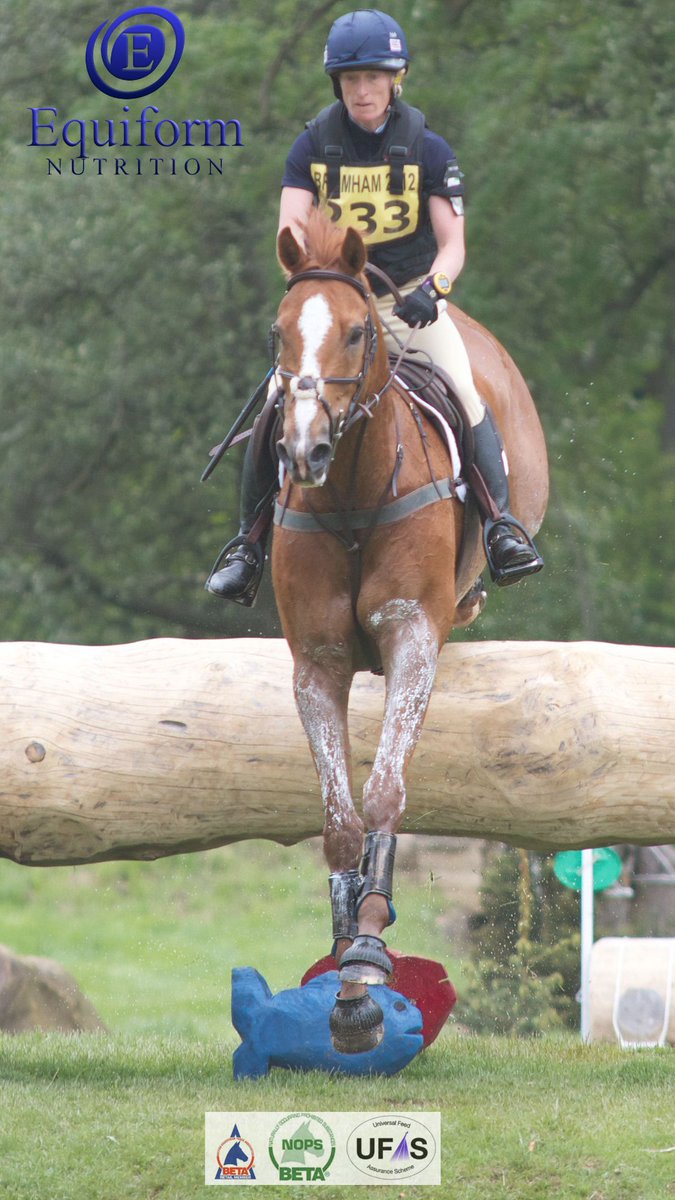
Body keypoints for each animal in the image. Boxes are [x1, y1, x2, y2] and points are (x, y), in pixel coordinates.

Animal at [270, 209, 548, 1053]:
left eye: (357, 332)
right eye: (278, 332)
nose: (303, 448)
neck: (352, 495)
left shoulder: (413, 640)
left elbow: (385, 789)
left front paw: (365, 948)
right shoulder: (317, 663)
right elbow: (337, 816)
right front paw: (344, 972)